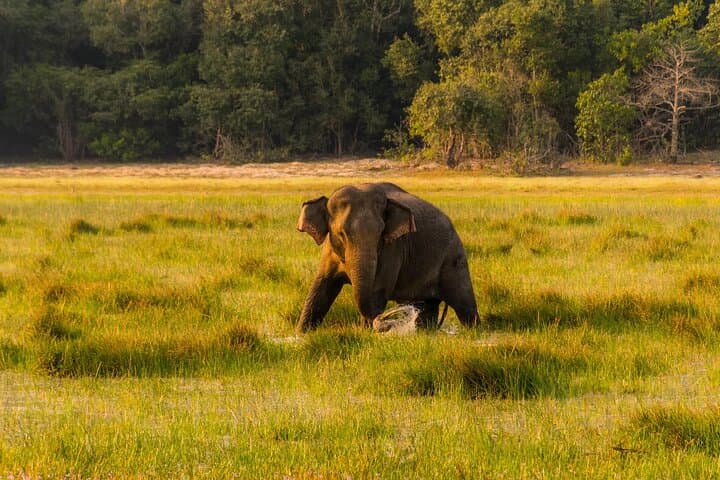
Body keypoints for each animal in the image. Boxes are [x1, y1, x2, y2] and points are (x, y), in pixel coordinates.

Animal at [296, 182, 479, 332]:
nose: (386, 320)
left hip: (454, 259)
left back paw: (473, 332)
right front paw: (301, 334)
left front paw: (367, 333)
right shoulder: (329, 252)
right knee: (426, 306)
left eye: (380, 234)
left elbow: (376, 291)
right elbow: (321, 289)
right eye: (341, 234)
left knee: (464, 303)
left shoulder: (392, 249)